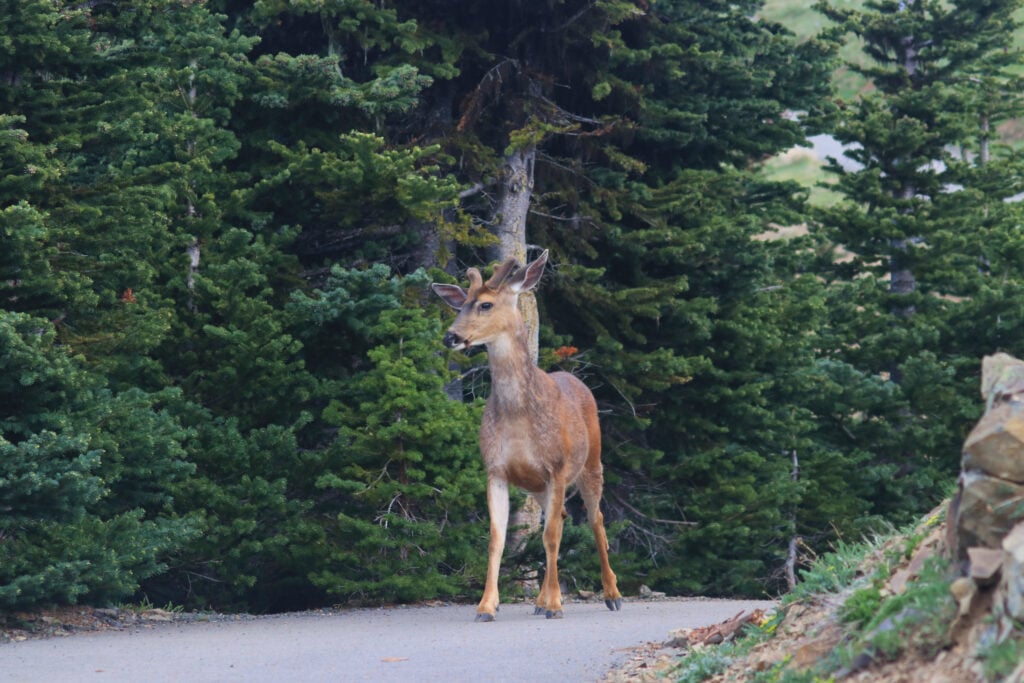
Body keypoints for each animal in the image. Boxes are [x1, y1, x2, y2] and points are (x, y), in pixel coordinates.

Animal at [432, 250, 623, 622]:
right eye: (461, 304)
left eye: (486, 304)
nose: (451, 336)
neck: (519, 417)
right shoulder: (496, 469)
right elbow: (497, 538)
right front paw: (486, 606)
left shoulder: (557, 467)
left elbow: (550, 537)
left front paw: (557, 605)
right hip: (537, 487)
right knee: (561, 519)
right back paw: (541, 600)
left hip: (591, 463)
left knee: (595, 519)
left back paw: (611, 594)